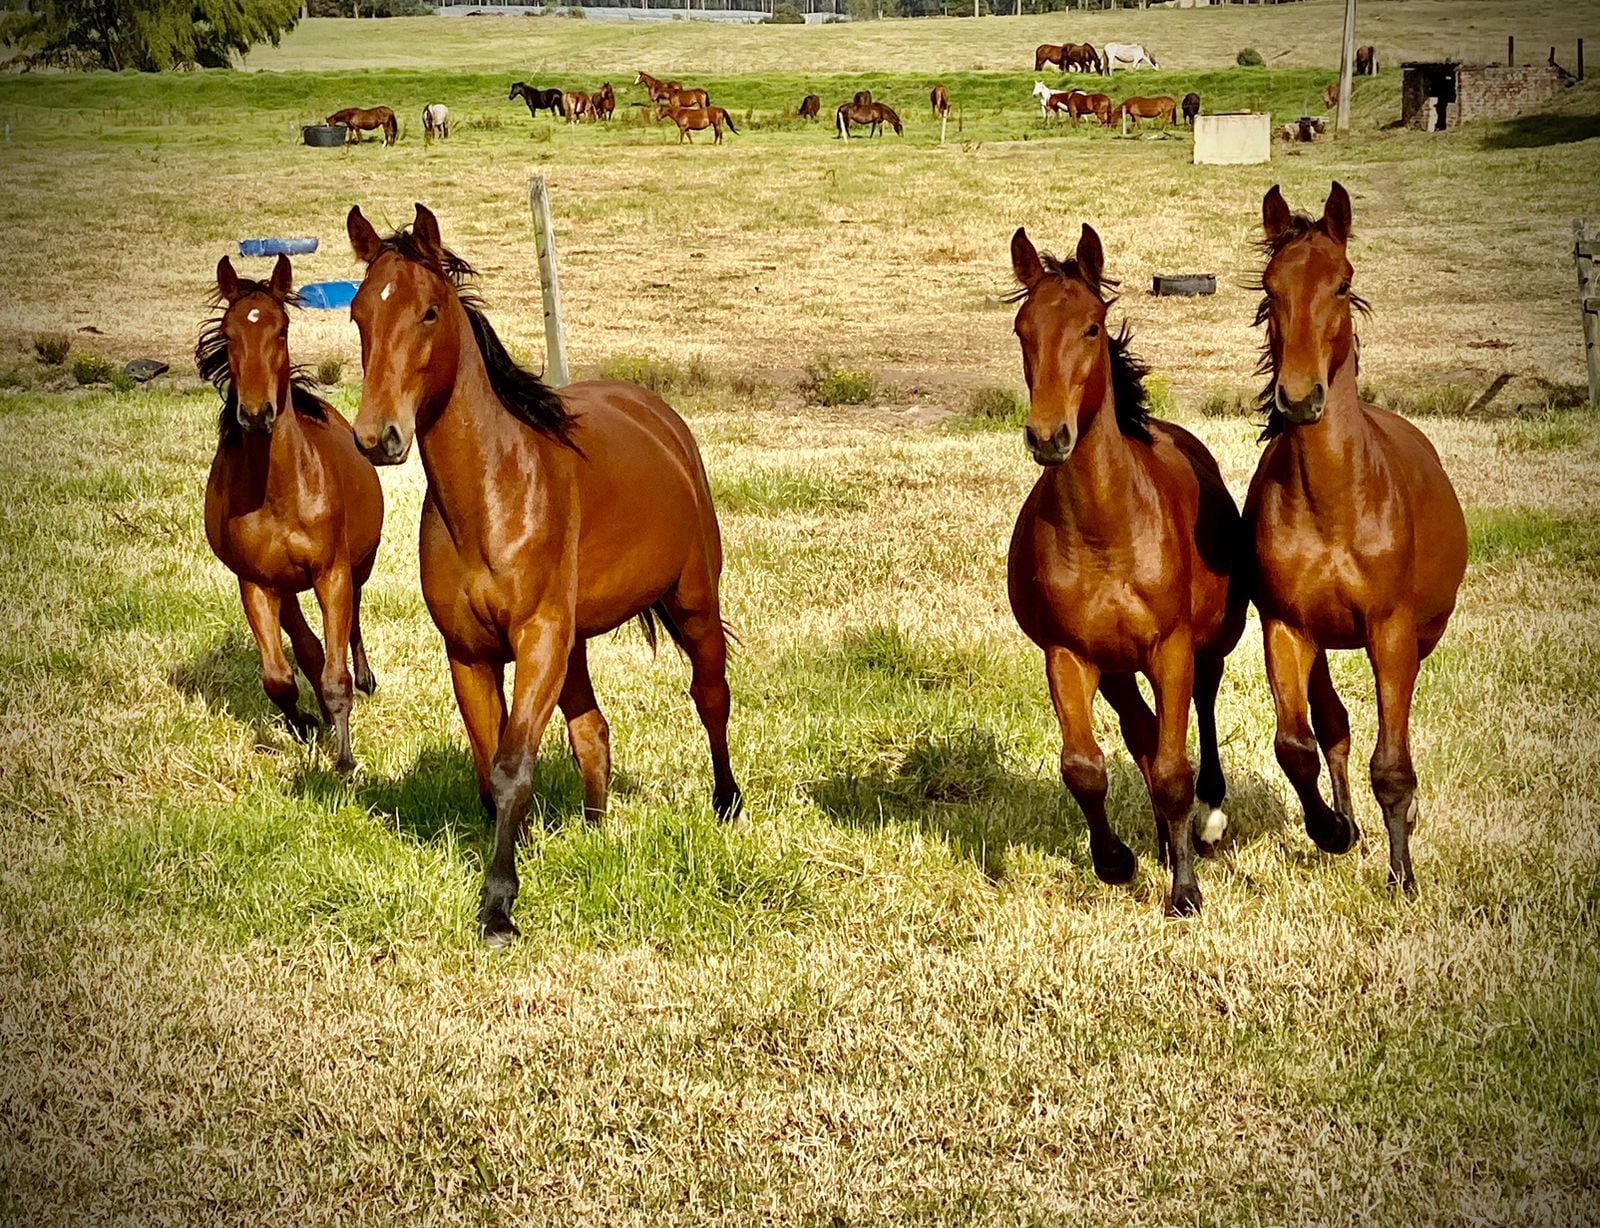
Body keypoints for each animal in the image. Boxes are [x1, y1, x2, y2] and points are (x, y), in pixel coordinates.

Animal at [200, 255, 384, 777]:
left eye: (280, 330)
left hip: (358, 565)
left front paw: (344, 760)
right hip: (285, 587)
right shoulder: (256, 582)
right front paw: (304, 724)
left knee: (353, 619)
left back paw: (366, 677)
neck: (277, 494)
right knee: (306, 646)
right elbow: (280, 677)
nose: (256, 413)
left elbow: (337, 674)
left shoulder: (331, 572)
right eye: (228, 333)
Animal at [345, 206, 742, 946]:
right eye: (359, 314)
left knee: (711, 697)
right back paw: (596, 829)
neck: (494, 496)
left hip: (692, 603)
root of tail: (660, 417)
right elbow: (489, 765)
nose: (376, 437)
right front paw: (521, 851)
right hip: (576, 643)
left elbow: (511, 766)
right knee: (593, 732)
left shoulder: (536, 640)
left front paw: (499, 905)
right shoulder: (471, 654)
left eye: (429, 311)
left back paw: (726, 803)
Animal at [1004, 223, 1241, 908]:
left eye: (1090, 327)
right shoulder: (1069, 654)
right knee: (1142, 733)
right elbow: (1085, 766)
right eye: (1022, 330)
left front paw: (1184, 892)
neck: (1105, 533)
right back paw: (1163, 841)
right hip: (1115, 668)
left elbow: (1174, 767)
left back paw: (1207, 821)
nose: (1048, 436)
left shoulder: (1171, 648)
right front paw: (1116, 861)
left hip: (1209, 643)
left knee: (1199, 713)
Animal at [1241, 182, 1465, 895]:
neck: (1335, 505)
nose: (1298, 398)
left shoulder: (1390, 633)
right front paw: (1333, 831)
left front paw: (1402, 876)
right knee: (1332, 726)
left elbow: (1391, 762)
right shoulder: (1285, 627)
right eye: (1270, 285)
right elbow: (1297, 745)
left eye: (1341, 284)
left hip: (1419, 635)